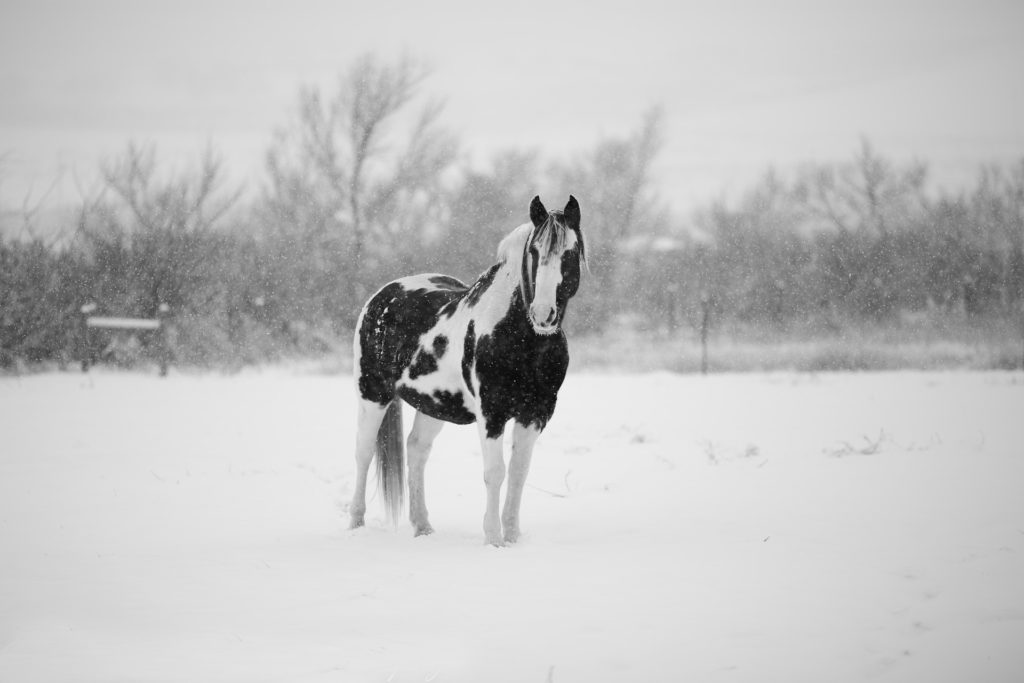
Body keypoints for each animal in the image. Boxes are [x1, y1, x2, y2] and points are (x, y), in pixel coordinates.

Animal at [348, 195, 587, 545]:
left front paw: (512, 537)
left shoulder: (535, 413)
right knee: (363, 453)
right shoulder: (492, 414)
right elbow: (495, 472)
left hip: (432, 405)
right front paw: (494, 539)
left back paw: (423, 527)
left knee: (416, 450)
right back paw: (355, 525)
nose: (543, 314)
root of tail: (381, 296)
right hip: (372, 395)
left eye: (570, 252)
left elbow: (519, 471)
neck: (521, 338)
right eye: (534, 252)